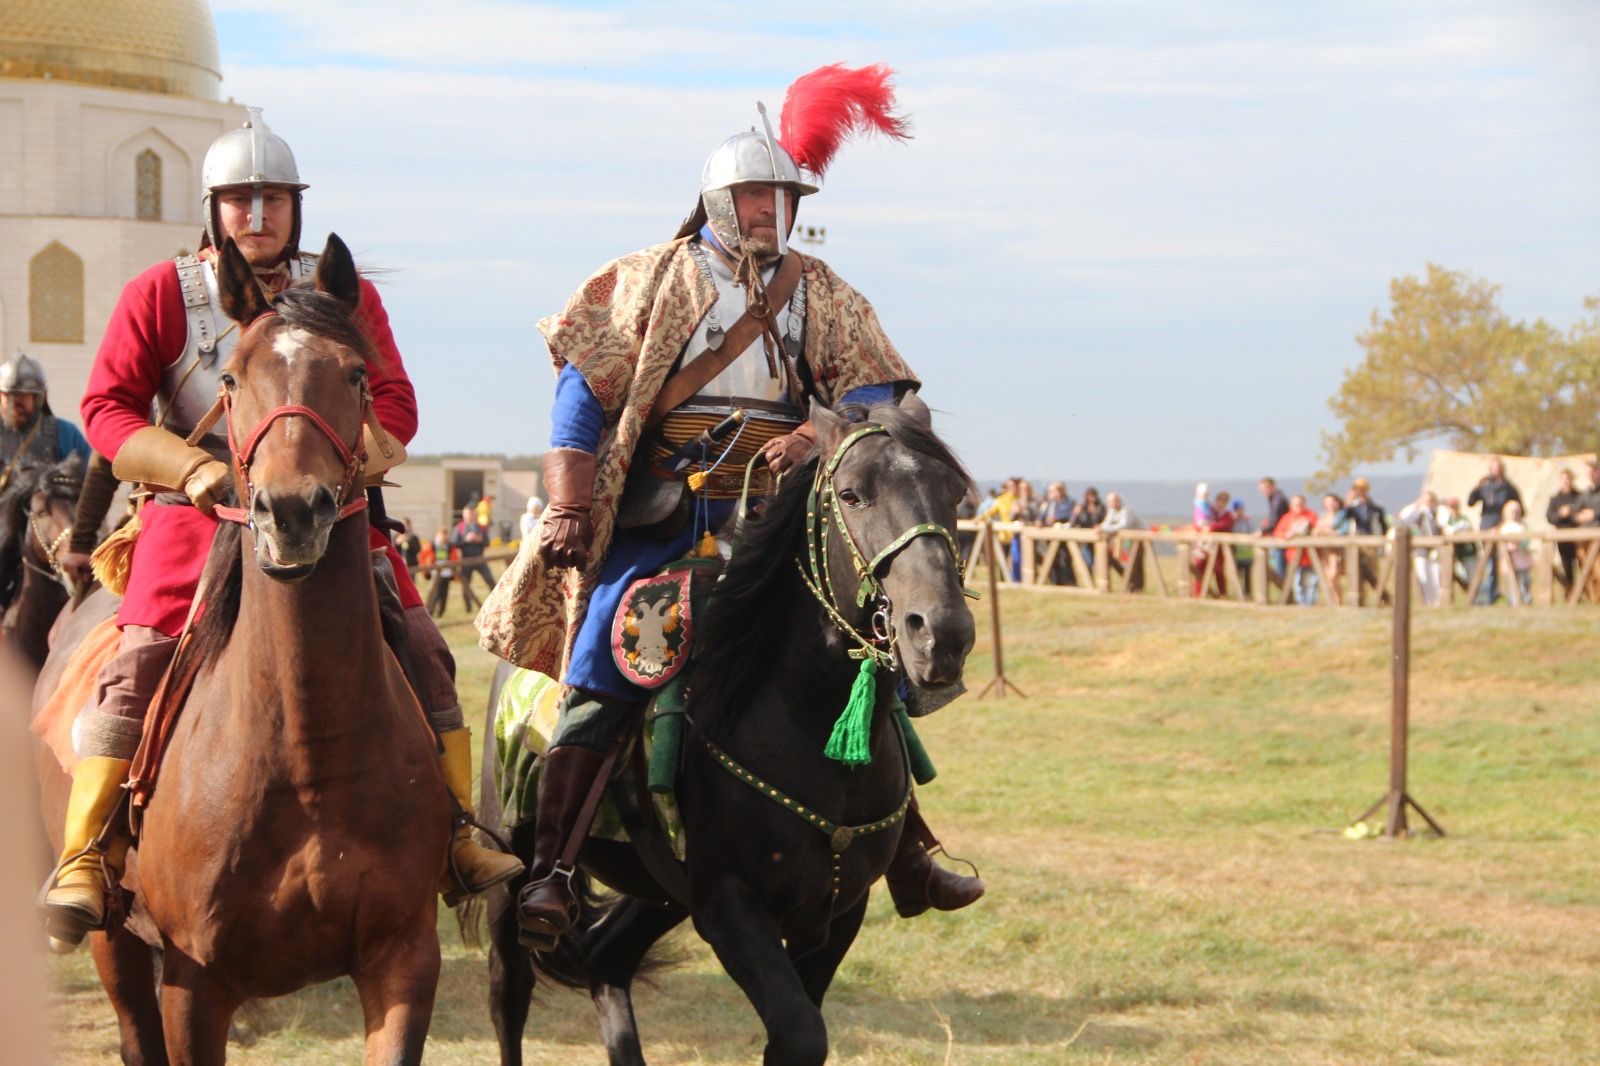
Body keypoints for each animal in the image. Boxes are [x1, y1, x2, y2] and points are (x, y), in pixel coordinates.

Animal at [32, 235, 457, 1062]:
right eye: (231, 378)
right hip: (114, 944)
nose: (291, 513)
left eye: (356, 374)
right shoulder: (194, 985)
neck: (307, 751)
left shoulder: (403, 961)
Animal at [473, 393, 972, 1062]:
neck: (801, 713)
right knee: (508, 995)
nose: (941, 634)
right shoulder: (730, 903)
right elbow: (799, 1031)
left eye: (954, 495)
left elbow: (798, 1029)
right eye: (852, 494)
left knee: (606, 960)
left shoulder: (837, 909)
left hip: (660, 890)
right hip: (511, 871)